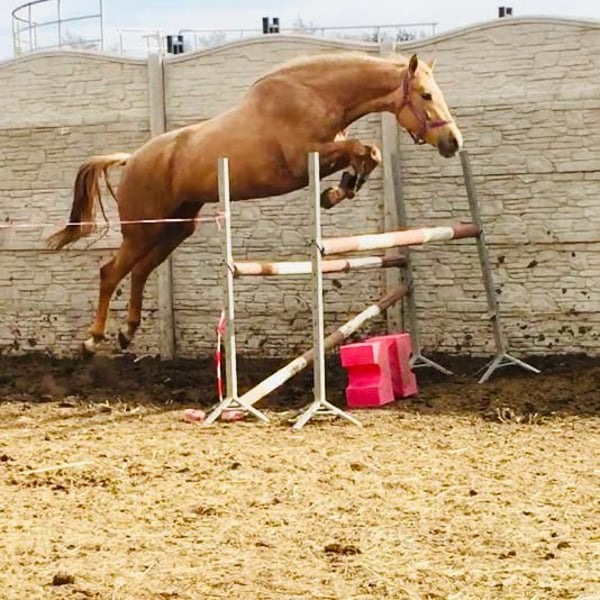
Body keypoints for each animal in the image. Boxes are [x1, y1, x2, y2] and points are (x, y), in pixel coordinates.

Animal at [47, 51, 463, 354]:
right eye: (426, 95)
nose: (454, 143)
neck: (316, 94)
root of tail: (132, 158)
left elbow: (367, 152)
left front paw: (340, 190)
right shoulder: (304, 160)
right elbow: (362, 149)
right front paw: (336, 191)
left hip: (174, 229)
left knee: (139, 273)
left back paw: (127, 333)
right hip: (141, 232)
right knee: (110, 273)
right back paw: (93, 340)